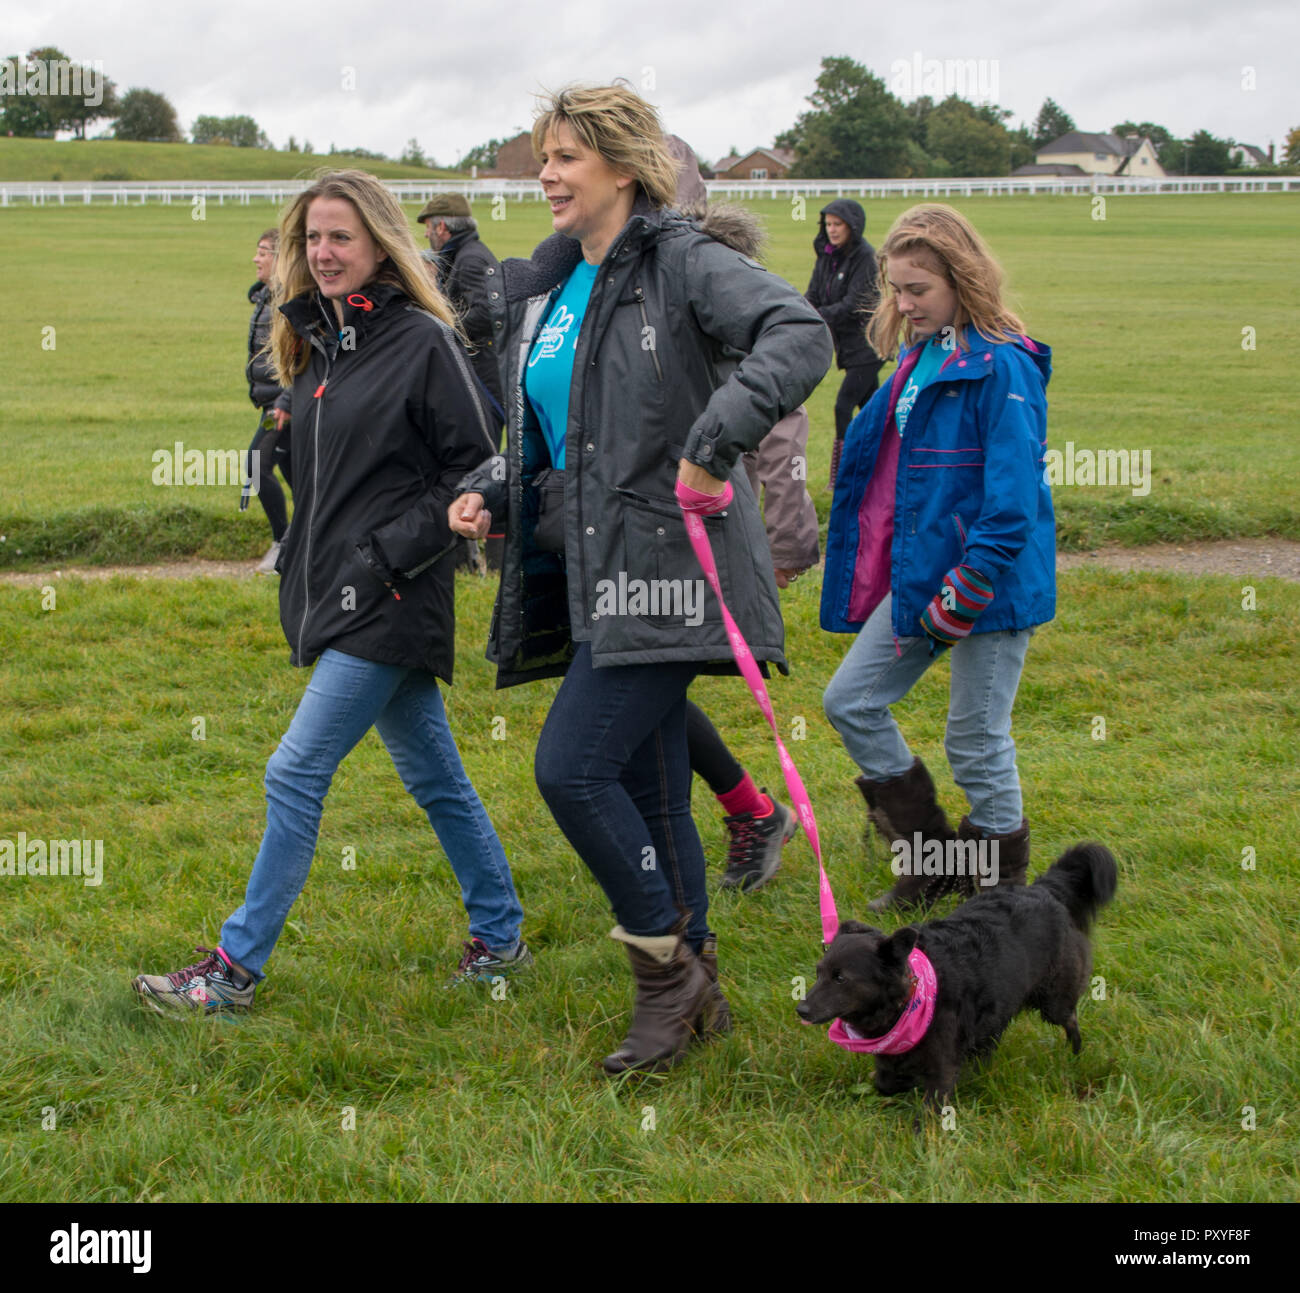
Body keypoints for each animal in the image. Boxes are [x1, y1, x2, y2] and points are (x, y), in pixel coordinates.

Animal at [790, 842, 1118, 1107]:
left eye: (841, 978)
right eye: (818, 973)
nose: (801, 1009)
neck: (910, 997)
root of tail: (1043, 889)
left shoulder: (942, 1064)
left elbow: (930, 1106)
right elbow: (885, 1082)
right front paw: (902, 1084)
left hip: (1054, 999)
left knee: (1070, 1018)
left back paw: (1075, 1054)